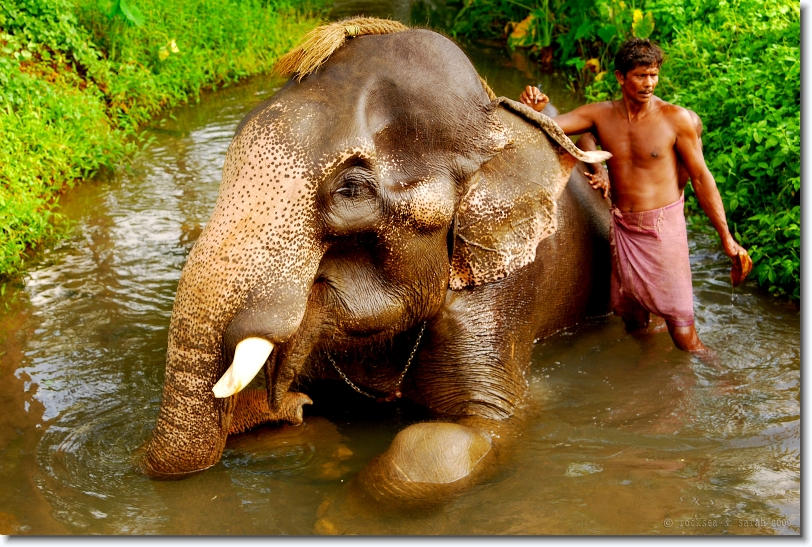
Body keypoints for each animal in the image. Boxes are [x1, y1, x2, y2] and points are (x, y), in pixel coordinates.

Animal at [140, 15, 612, 508]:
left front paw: (336, 511)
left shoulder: (499, 298)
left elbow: (483, 428)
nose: (289, 401)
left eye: (350, 190)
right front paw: (300, 411)